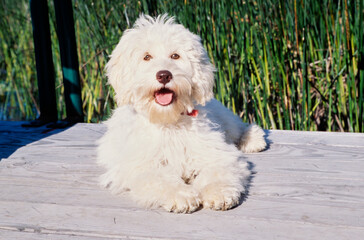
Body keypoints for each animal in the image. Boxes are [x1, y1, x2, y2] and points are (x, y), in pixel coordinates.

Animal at [97, 14, 268, 213]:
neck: (168, 120)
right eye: (146, 57)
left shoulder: (214, 150)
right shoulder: (140, 165)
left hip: (223, 116)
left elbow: (218, 170)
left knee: (238, 127)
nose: (164, 75)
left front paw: (218, 193)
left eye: (175, 55)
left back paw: (252, 139)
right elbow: (159, 179)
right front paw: (181, 196)